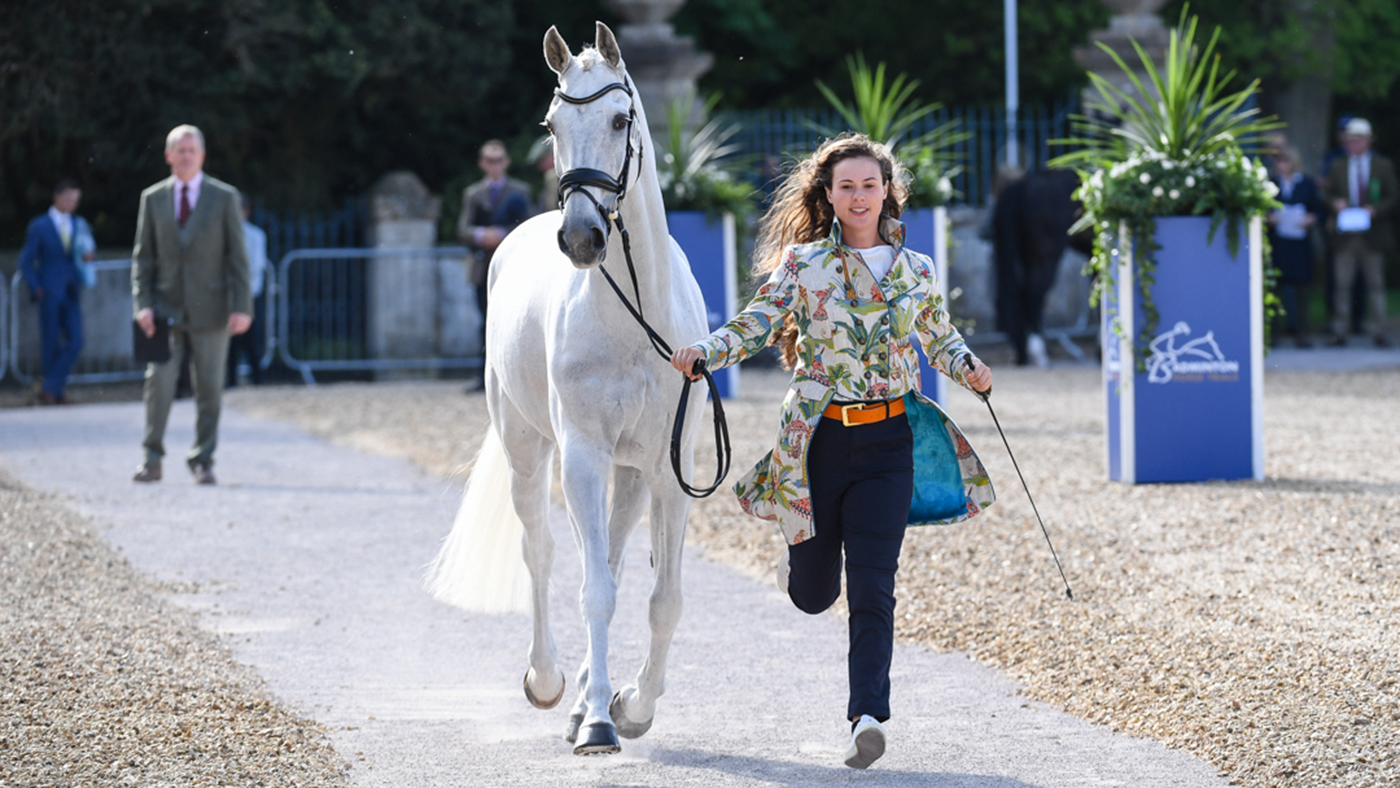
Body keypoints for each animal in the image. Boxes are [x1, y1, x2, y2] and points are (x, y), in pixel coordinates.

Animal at [424, 22, 709, 757]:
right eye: (552, 124)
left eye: (618, 119)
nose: (582, 237)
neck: (637, 318)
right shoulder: (581, 456)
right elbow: (594, 590)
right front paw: (602, 724)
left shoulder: (669, 470)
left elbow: (664, 598)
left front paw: (630, 705)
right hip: (529, 451)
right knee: (546, 553)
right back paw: (552, 683)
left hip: (628, 474)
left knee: (608, 554)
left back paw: (585, 696)